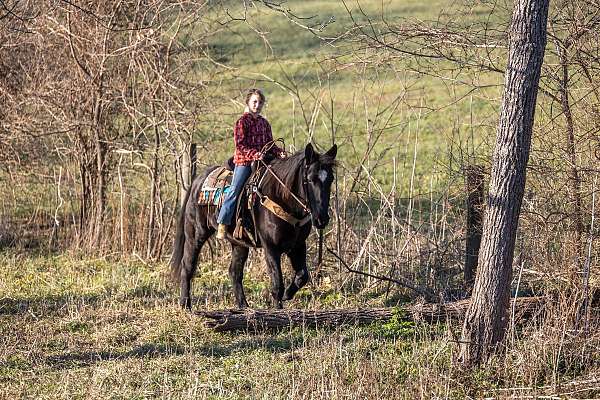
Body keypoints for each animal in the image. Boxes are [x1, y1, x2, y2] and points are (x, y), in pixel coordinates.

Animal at [169, 144, 338, 310]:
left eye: (330, 179)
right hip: (195, 233)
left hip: (239, 243)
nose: (321, 219)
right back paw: (185, 304)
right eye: (310, 179)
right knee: (188, 266)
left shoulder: (297, 245)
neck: (281, 197)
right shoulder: (271, 247)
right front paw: (278, 309)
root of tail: (197, 181)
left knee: (234, 272)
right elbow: (277, 283)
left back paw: (243, 307)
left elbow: (302, 276)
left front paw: (287, 295)